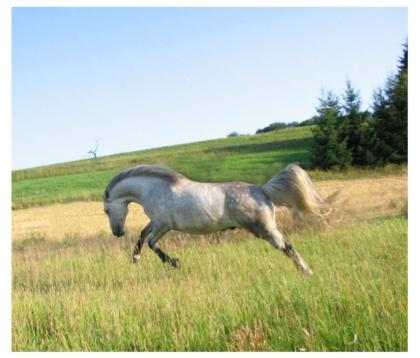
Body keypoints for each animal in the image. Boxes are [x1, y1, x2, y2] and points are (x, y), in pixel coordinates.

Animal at [102, 164, 328, 276]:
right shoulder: (156, 222)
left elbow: (150, 242)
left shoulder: (164, 225)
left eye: (105, 210)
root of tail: (263, 190)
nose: (117, 233)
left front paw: (174, 262)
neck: (154, 189)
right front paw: (135, 258)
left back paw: (306, 271)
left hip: (264, 229)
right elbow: (142, 236)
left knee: (287, 247)